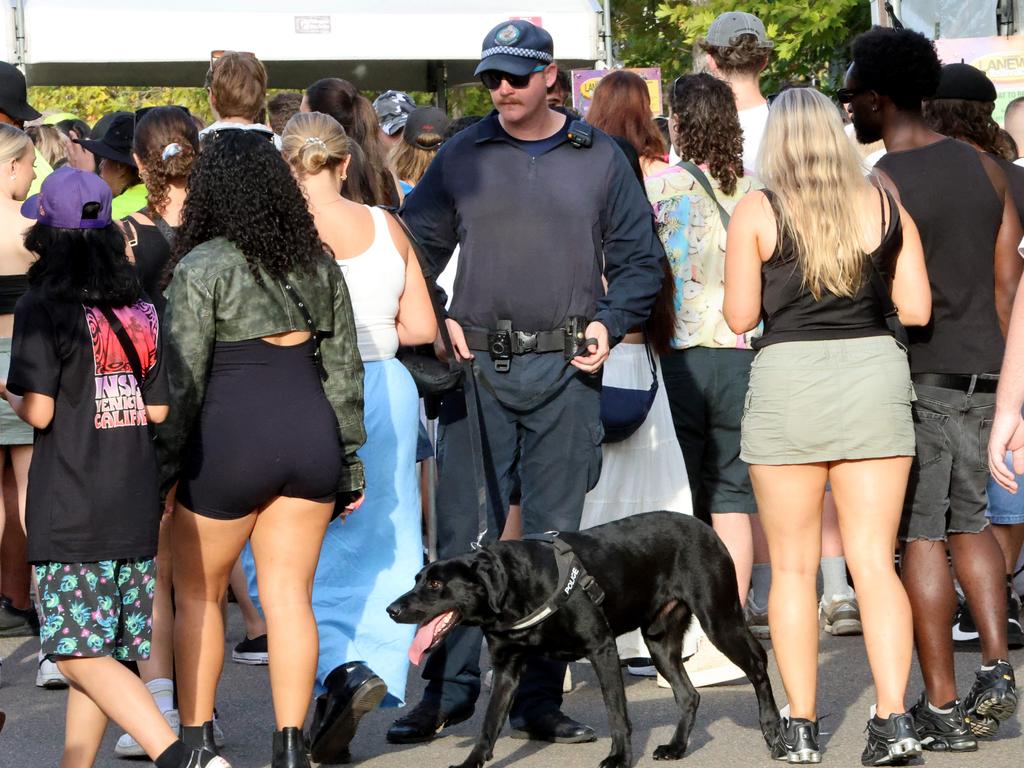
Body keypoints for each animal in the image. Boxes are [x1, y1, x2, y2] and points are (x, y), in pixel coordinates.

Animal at [387, 512, 778, 768]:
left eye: (436, 584)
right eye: (417, 578)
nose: (391, 609)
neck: (517, 584)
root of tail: (705, 527)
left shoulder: (602, 648)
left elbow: (616, 712)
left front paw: (619, 758)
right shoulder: (507, 669)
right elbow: (488, 724)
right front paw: (472, 763)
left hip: (720, 620)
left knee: (759, 666)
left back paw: (774, 732)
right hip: (659, 642)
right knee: (689, 694)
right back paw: (677, 747)